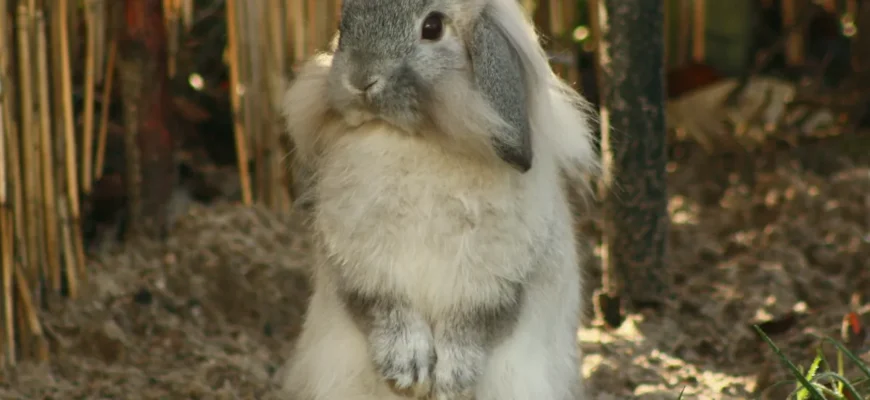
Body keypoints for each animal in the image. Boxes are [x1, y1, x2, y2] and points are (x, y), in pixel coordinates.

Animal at [277, 0, 600, 399]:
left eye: (432, 27)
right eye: (343, 25)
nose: (360, 80)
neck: (421, 139)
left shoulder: (495, 281)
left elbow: (471, 326)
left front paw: (451, 381)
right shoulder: (365, 268)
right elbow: (388, 311)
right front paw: (407, 372)